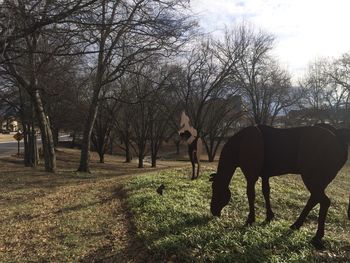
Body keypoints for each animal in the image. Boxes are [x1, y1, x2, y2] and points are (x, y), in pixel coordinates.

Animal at [209, 125, 348, 249]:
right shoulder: (265, 175)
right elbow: (266, 192)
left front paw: (250, 219)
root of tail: (339, 139)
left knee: (324, 201)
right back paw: (296, 225)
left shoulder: (251, 175)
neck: (241, 143)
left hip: (311, 178)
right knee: (314, 199)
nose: (213, 211)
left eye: (216, 189)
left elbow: (251, 194)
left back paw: (317, 235)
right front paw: (269, 216)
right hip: (318, 182)